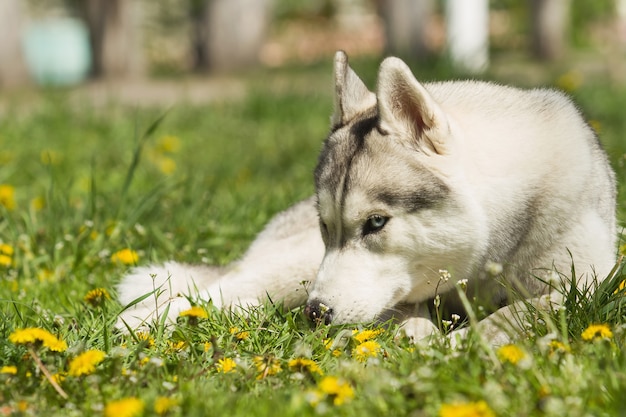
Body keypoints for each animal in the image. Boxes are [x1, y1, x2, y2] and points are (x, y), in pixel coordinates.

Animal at [117, 51, 616, 342]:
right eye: (327, 226)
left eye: (376, 222)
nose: (316, 313)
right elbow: (406, 317)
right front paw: (423, 339)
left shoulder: (586, 284)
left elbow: (532, 309)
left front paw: (469, 341)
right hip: (287, 273)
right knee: (215, 292)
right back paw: (138, 322)